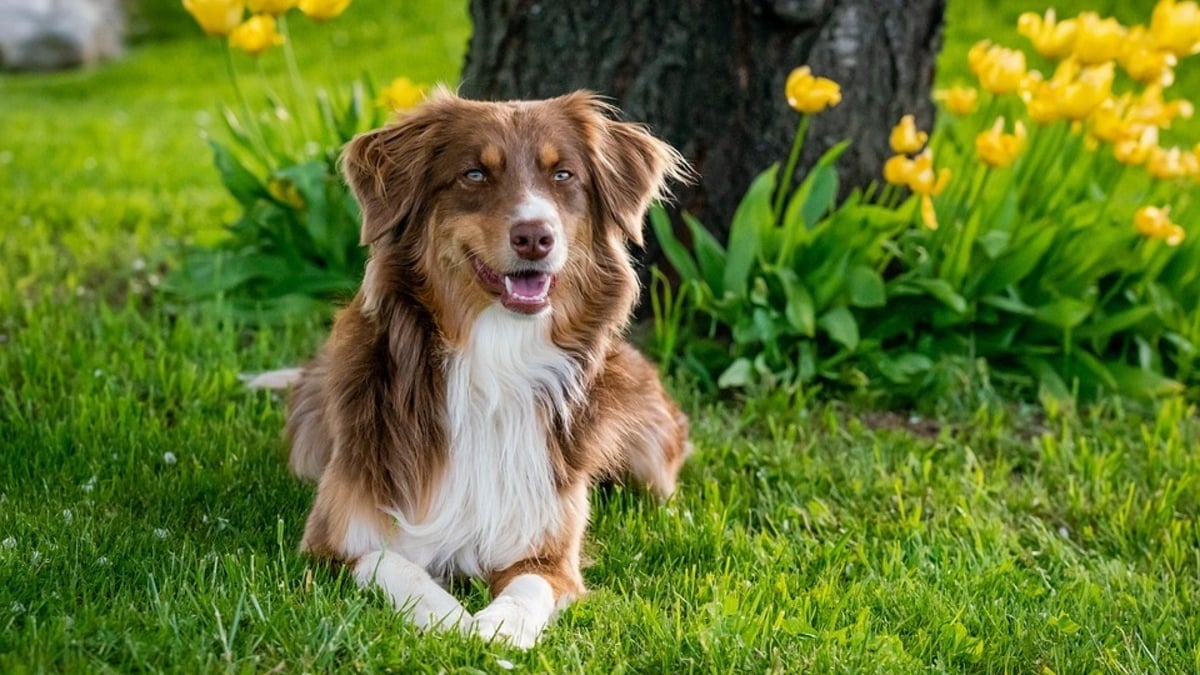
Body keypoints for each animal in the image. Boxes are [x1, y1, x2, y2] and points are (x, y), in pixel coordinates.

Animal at [279, 89, 691, 648]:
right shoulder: (333, 542)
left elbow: (528, 589)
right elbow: (394, 567)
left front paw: (498, 627)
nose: (535, 236)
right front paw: (450, 620)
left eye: (563, 174)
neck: (495, 361)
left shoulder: (550, 552)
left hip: (649, 454)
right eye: (474, 174)